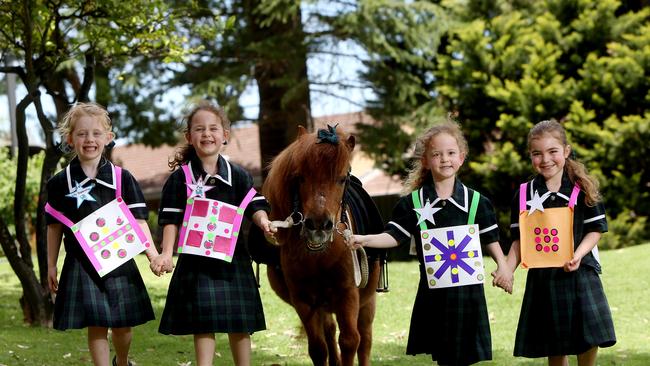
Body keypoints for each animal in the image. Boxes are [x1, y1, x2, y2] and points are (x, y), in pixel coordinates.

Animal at [260, 126, 380, 366]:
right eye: (300, 177)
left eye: (342, 179)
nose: (318, 226)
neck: (319, 257)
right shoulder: (304, 301)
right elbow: (318, 348)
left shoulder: (348, 295)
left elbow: (350, 341)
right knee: (330, 332)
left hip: (367, 303)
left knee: (365, 341)